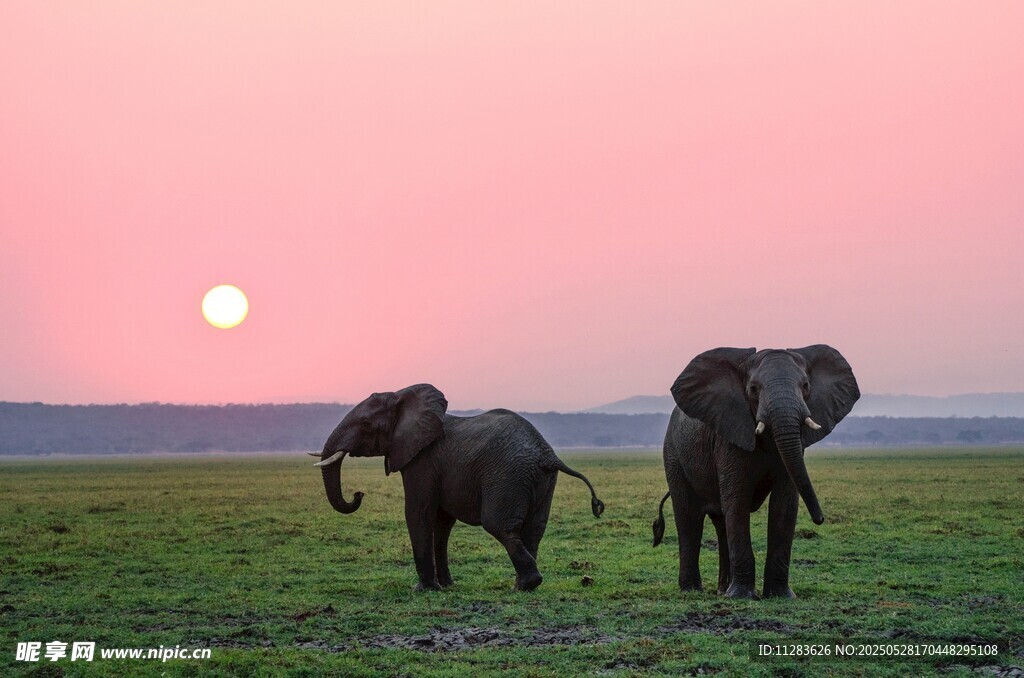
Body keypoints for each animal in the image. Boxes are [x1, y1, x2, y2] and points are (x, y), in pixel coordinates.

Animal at [310, 384, 605, 591]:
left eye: (365, 424)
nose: (358, 494)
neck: (402, 396)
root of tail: (548, 454)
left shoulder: (422, 460)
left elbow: (418, 512)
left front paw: (424, 590)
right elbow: (442, 523)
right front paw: (447, 586)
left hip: (508, 476)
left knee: (499, 525)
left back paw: (525, 585)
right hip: (541, 480)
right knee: (534, 529)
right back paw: (523, 585)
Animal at [652, 345, 859, 599]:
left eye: (806, 386)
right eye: (753, 389)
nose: (820, 519)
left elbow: (784, 504)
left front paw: (780, 596)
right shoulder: (729, 435)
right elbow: (737, 500)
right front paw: (742, 596)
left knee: (721, 523)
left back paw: (722, 590)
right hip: (673, 456)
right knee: (689, 517)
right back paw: (693, 591)